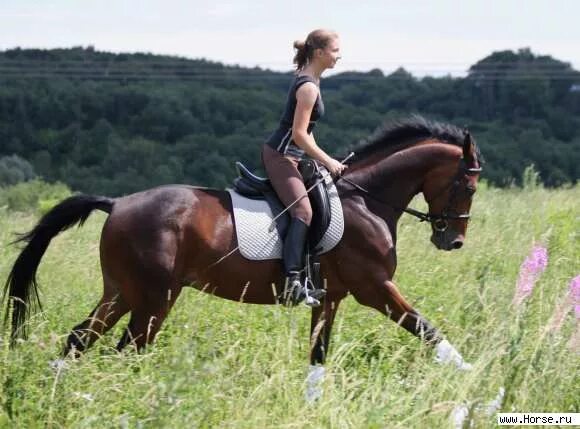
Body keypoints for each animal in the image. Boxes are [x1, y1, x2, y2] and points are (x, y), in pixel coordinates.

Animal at [2, 115, 482, 370]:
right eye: (468, 186)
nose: (454, 241)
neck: (367, 200)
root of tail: (117, 203)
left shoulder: (330, 297)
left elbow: (318, 357)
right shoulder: (375, 288)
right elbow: (428, 329)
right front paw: (470, 374)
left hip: (122, 291)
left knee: (80, 339)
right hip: (155, 296)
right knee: (130, 350)